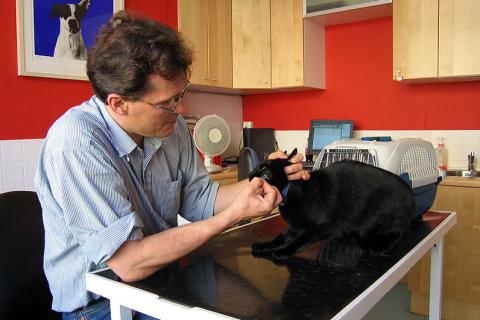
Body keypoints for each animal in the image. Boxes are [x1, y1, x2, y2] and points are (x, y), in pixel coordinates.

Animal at [249, 149, 414, 262]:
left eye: (263, 169)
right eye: (256, 167)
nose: (250, 174)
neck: (291, 190)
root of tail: (409, 190)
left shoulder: (320, 227)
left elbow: (299, 240)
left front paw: (284, 251)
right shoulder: (294, 228)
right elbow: (280, 237)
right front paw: (264, 245)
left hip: (388, 215)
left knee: (399, 232)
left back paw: (379, 247)